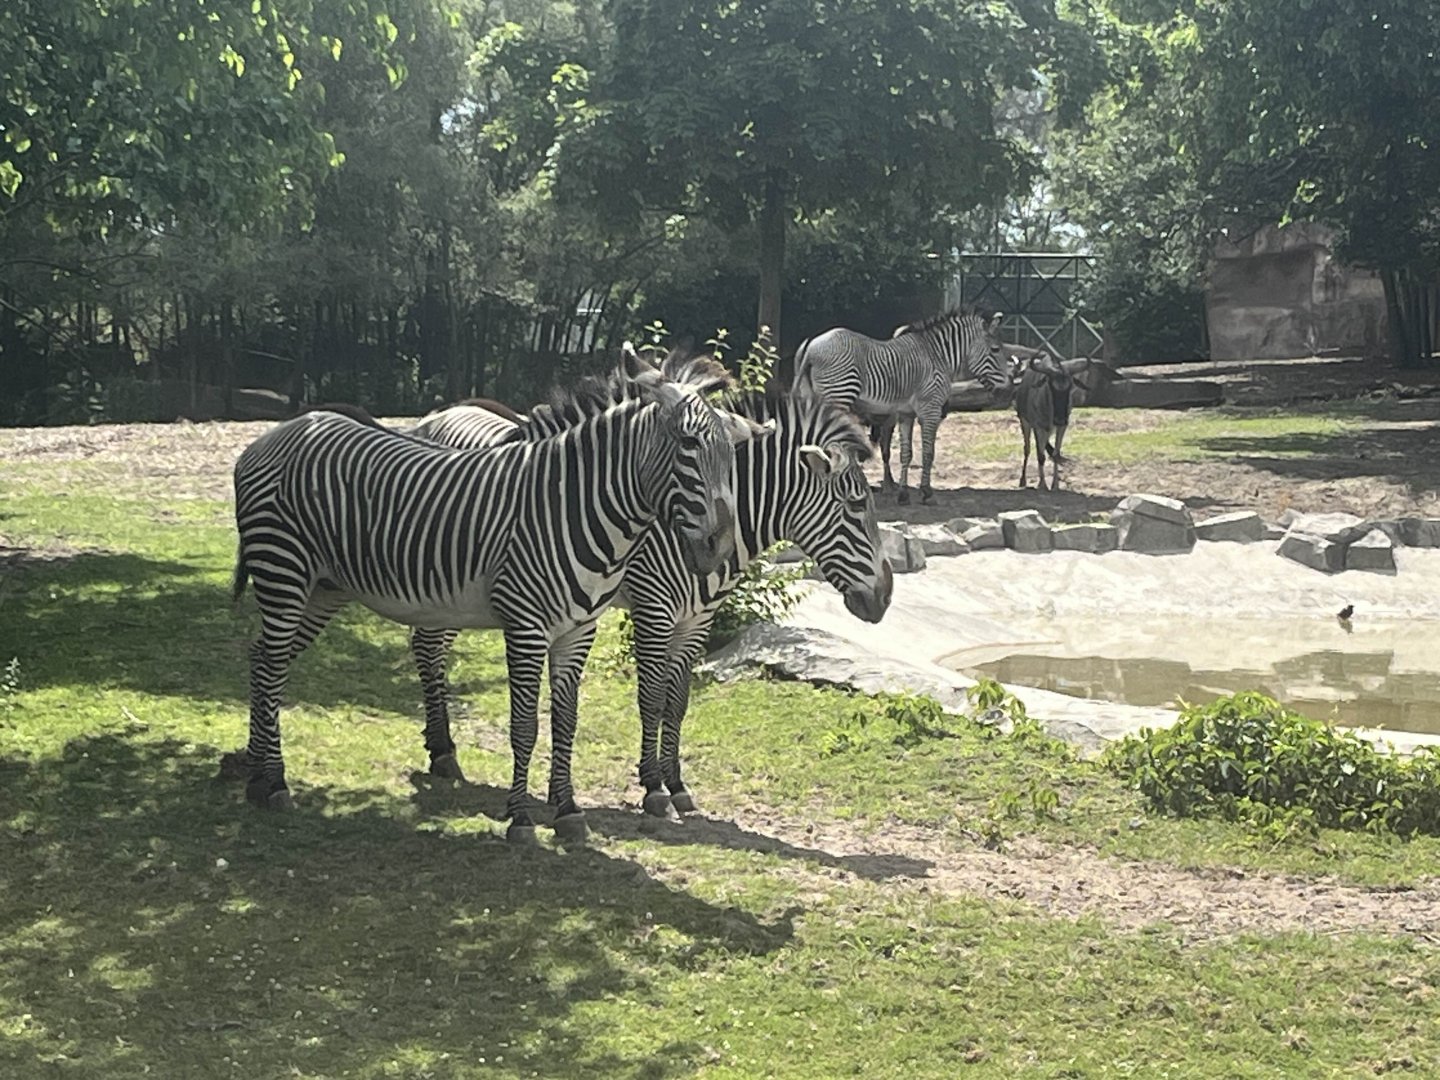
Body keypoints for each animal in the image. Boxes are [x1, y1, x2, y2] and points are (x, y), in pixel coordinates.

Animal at [230, 346, 772, 844]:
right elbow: (525, 725)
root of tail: (286, 428)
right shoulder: (527, 626)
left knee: (262, 659)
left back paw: (255, 773)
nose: (718, 548)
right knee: (272, 665)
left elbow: (567, 720)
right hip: (283, 570)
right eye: (688, 442)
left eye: (732, 455)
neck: (575, 506)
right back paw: (274, 782)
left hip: (322, 587)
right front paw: (521, 818)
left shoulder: (579, 629)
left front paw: (568, 811)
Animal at [407, 385, 893, 821]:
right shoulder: (655, 609)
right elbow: (652, 698)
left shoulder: (696, 619)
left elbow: (677, 701)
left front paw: (677, 784)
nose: (885, 596)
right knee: (429, 650)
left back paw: (439, 745)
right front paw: (654, 788)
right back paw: (444, 751)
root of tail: (439, 415)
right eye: (855, 505)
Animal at [794, 308, 1011, 505]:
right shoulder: (930, 410)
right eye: (995, 350)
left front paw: (903, 494)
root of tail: (811, 346)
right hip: (839, 395)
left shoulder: (906, 414)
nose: (1007, 390)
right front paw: (927, 492)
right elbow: (928, 452)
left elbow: (906, 454)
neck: (937, 356)